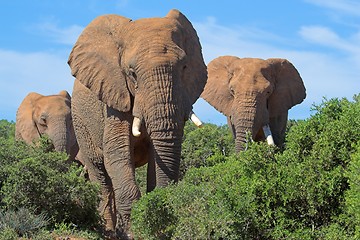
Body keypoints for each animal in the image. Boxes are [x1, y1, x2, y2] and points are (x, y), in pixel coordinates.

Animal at [67, 8, 207, 238]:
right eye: (132, 73)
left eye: (184, 67)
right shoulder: (115, 95)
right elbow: (117, 153)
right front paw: (132, 233)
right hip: (80, 121)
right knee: (100, 173)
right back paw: (108, 231)